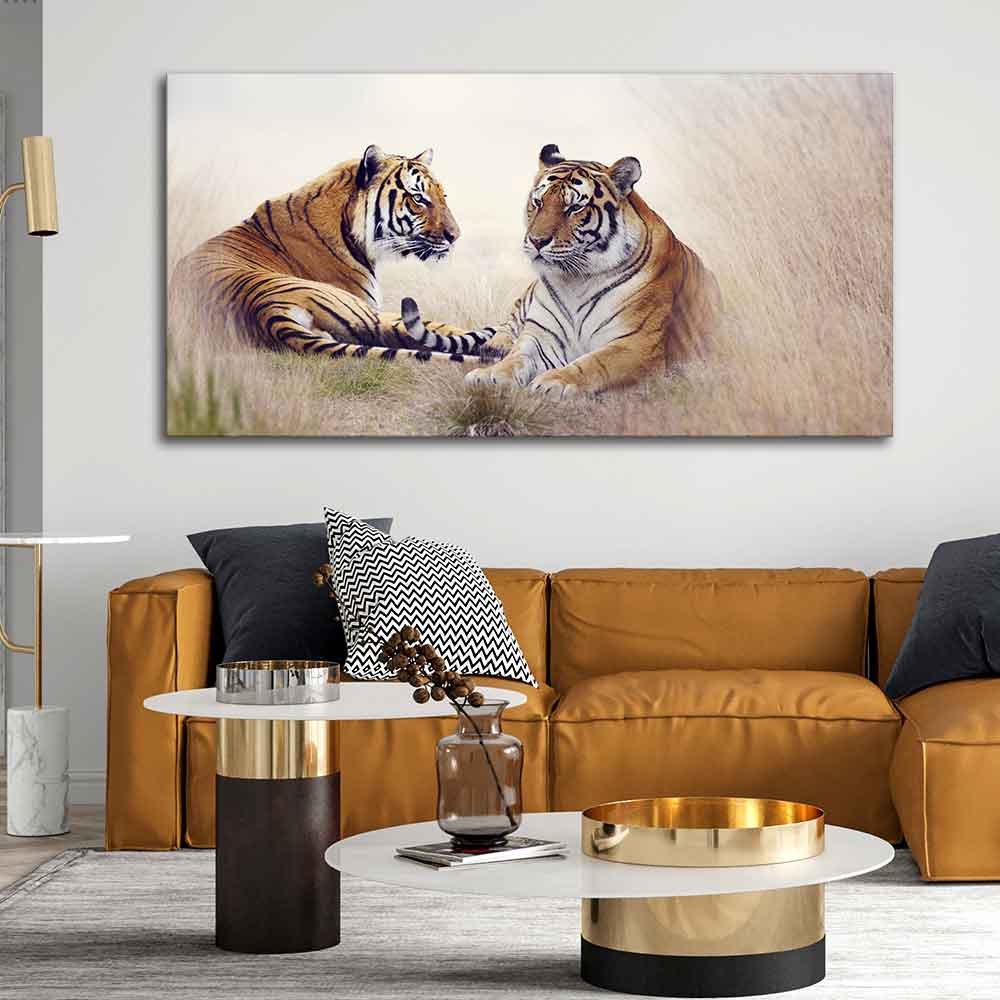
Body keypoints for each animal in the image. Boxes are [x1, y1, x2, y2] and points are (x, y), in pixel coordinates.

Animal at [407, 143, 721, 397]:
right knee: (508, 325)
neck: (576, 280)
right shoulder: (540, 335)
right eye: (538, 202)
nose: (536, 241)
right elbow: (517, 357)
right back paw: (495, 346)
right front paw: (491, 375)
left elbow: (593, 362)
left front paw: (554, 381)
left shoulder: (636, 343)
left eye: (574, 208)